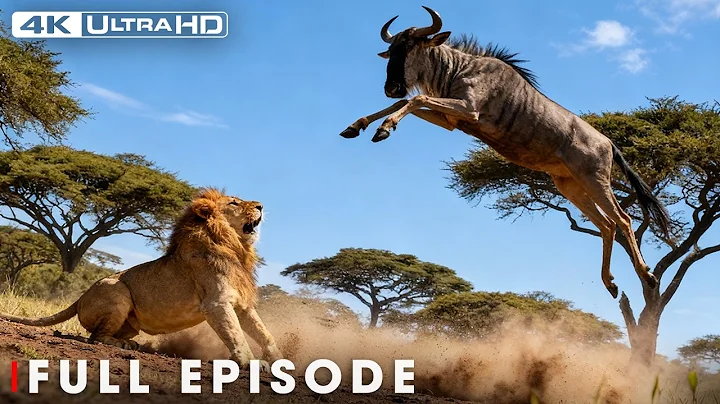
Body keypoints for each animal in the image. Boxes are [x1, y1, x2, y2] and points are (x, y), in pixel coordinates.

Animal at [0, 188, 283, 370]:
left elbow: (265, 334)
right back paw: (123, 345)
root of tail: (80, 298)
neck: (234, 246)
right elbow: (236, 335)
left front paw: (282, 362)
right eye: (234, 203)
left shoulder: (242, 305)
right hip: (117, 290)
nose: (260, 206)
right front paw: (251, 363)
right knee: (95, 337)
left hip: (129, 319)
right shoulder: (216, 303)